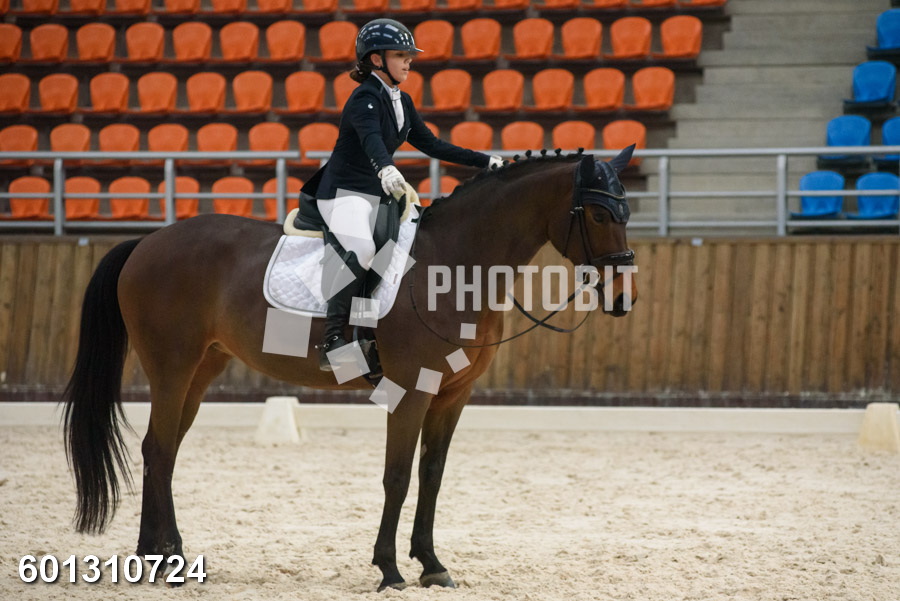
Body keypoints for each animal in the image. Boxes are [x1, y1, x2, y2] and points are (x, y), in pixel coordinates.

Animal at [62, 146, 639, 592]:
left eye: (627, 213)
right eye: (599, 216)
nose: (624, 299)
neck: (456, 262)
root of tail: (148, 240)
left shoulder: (452, 395)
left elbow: (432, 475)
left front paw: (432, 565)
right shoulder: (411, 391)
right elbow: (397, 476)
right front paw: (390, 570)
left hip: (202, 370)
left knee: (161, 452)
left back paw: (159, 557)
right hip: (172, 367)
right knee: (159, 449)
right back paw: (167, 559)